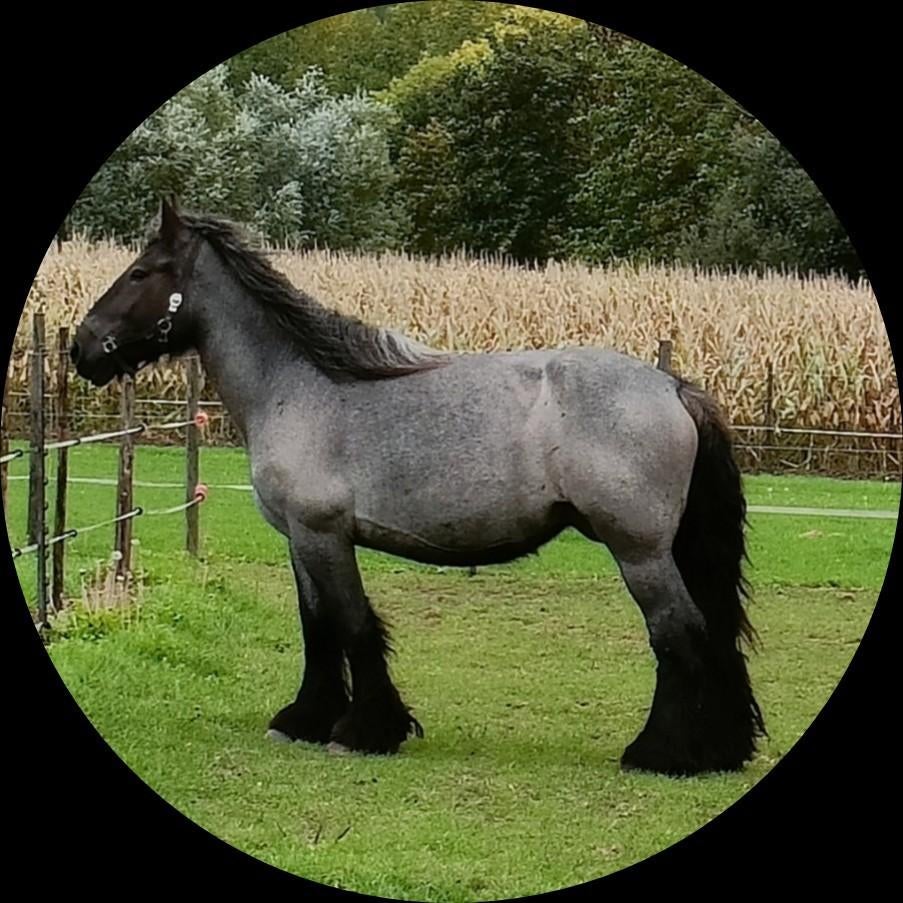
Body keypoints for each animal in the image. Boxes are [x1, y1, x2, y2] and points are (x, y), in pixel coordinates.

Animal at [70, 199, 765, 776]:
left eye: (142, 273)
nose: (82, 347)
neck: (301, 388)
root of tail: (672, 386)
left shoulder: (324, 535)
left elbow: (352, 625)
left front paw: (364, 730)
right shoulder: (299, 540)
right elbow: (317, 627)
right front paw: (304, 720)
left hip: (639, 552)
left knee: (678, 634)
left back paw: (661, 754)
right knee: (709, 633)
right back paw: (722, 749)